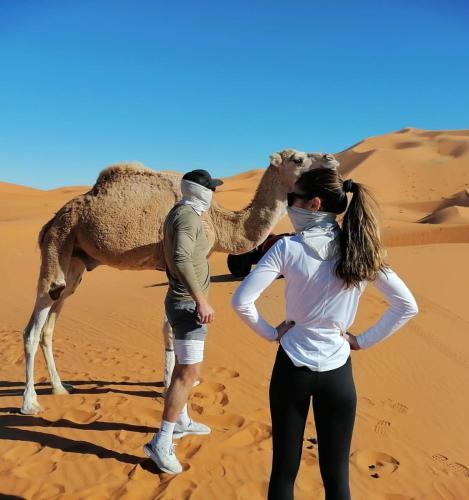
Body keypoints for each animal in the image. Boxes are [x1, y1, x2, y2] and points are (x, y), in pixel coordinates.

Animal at [22, 148, 338, 414]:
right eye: (298, 158)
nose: (331, 158)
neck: (217, 220)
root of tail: (49, 223)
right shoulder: (176, 259)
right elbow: (169, 329)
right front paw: (168, 386)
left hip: (75, 260)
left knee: (53, 317)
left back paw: (60, 387)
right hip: (58, 243)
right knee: (34, 325)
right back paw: (30, 403)